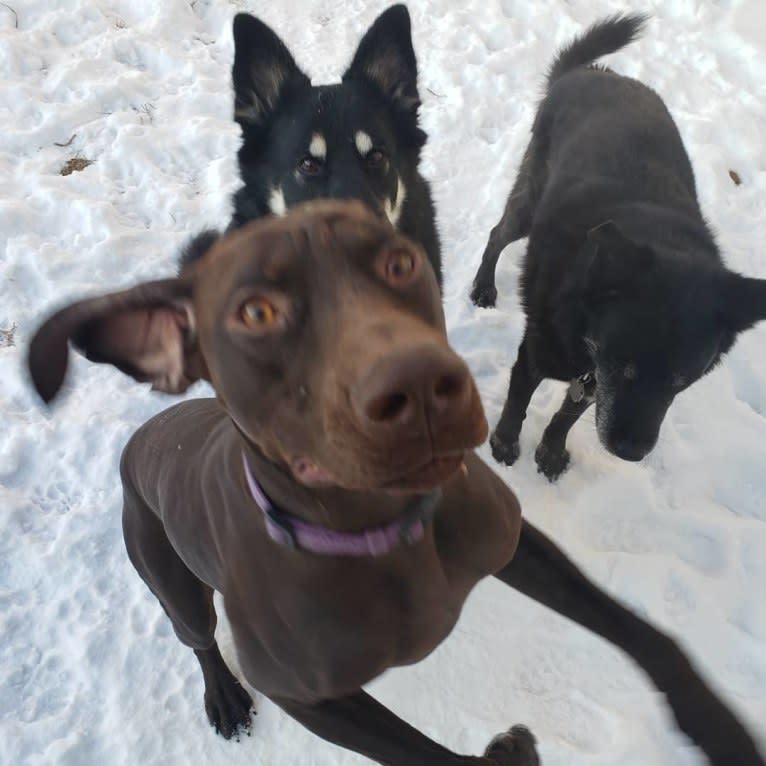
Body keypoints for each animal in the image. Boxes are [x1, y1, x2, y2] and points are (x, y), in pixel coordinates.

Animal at [27, 201, 764, 764]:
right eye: (256, 312)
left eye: (400, 263)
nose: (421, 386)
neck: (384, 531)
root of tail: (143, 435)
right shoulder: (309, 697)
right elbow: (422, 754)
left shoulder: (513, 543)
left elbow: (644, 634)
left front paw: (717, 726)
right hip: (165, 568)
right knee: (198, 635)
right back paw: (224, 696)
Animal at [472, 15, 766, 480]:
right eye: (624, 367)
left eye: (680, 381)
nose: (630, 452)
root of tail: (589, 72)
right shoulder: (539, 353)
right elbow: (518, 402)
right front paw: (504, 443)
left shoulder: (592, 384)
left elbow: (568, 414)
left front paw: (551, 451)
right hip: (529, 202)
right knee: (496, 234)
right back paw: (484, 286)